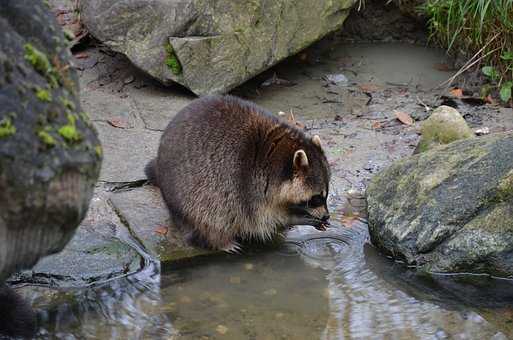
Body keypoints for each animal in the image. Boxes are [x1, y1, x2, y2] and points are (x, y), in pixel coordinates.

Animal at [145, 94, 328, 251]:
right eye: (317, 198)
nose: (327, 216)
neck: (281, 159)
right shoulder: (252, 185)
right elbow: (264, 221)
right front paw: (297, 218)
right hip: (190, 196)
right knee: (209, 218)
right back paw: (220, 241)